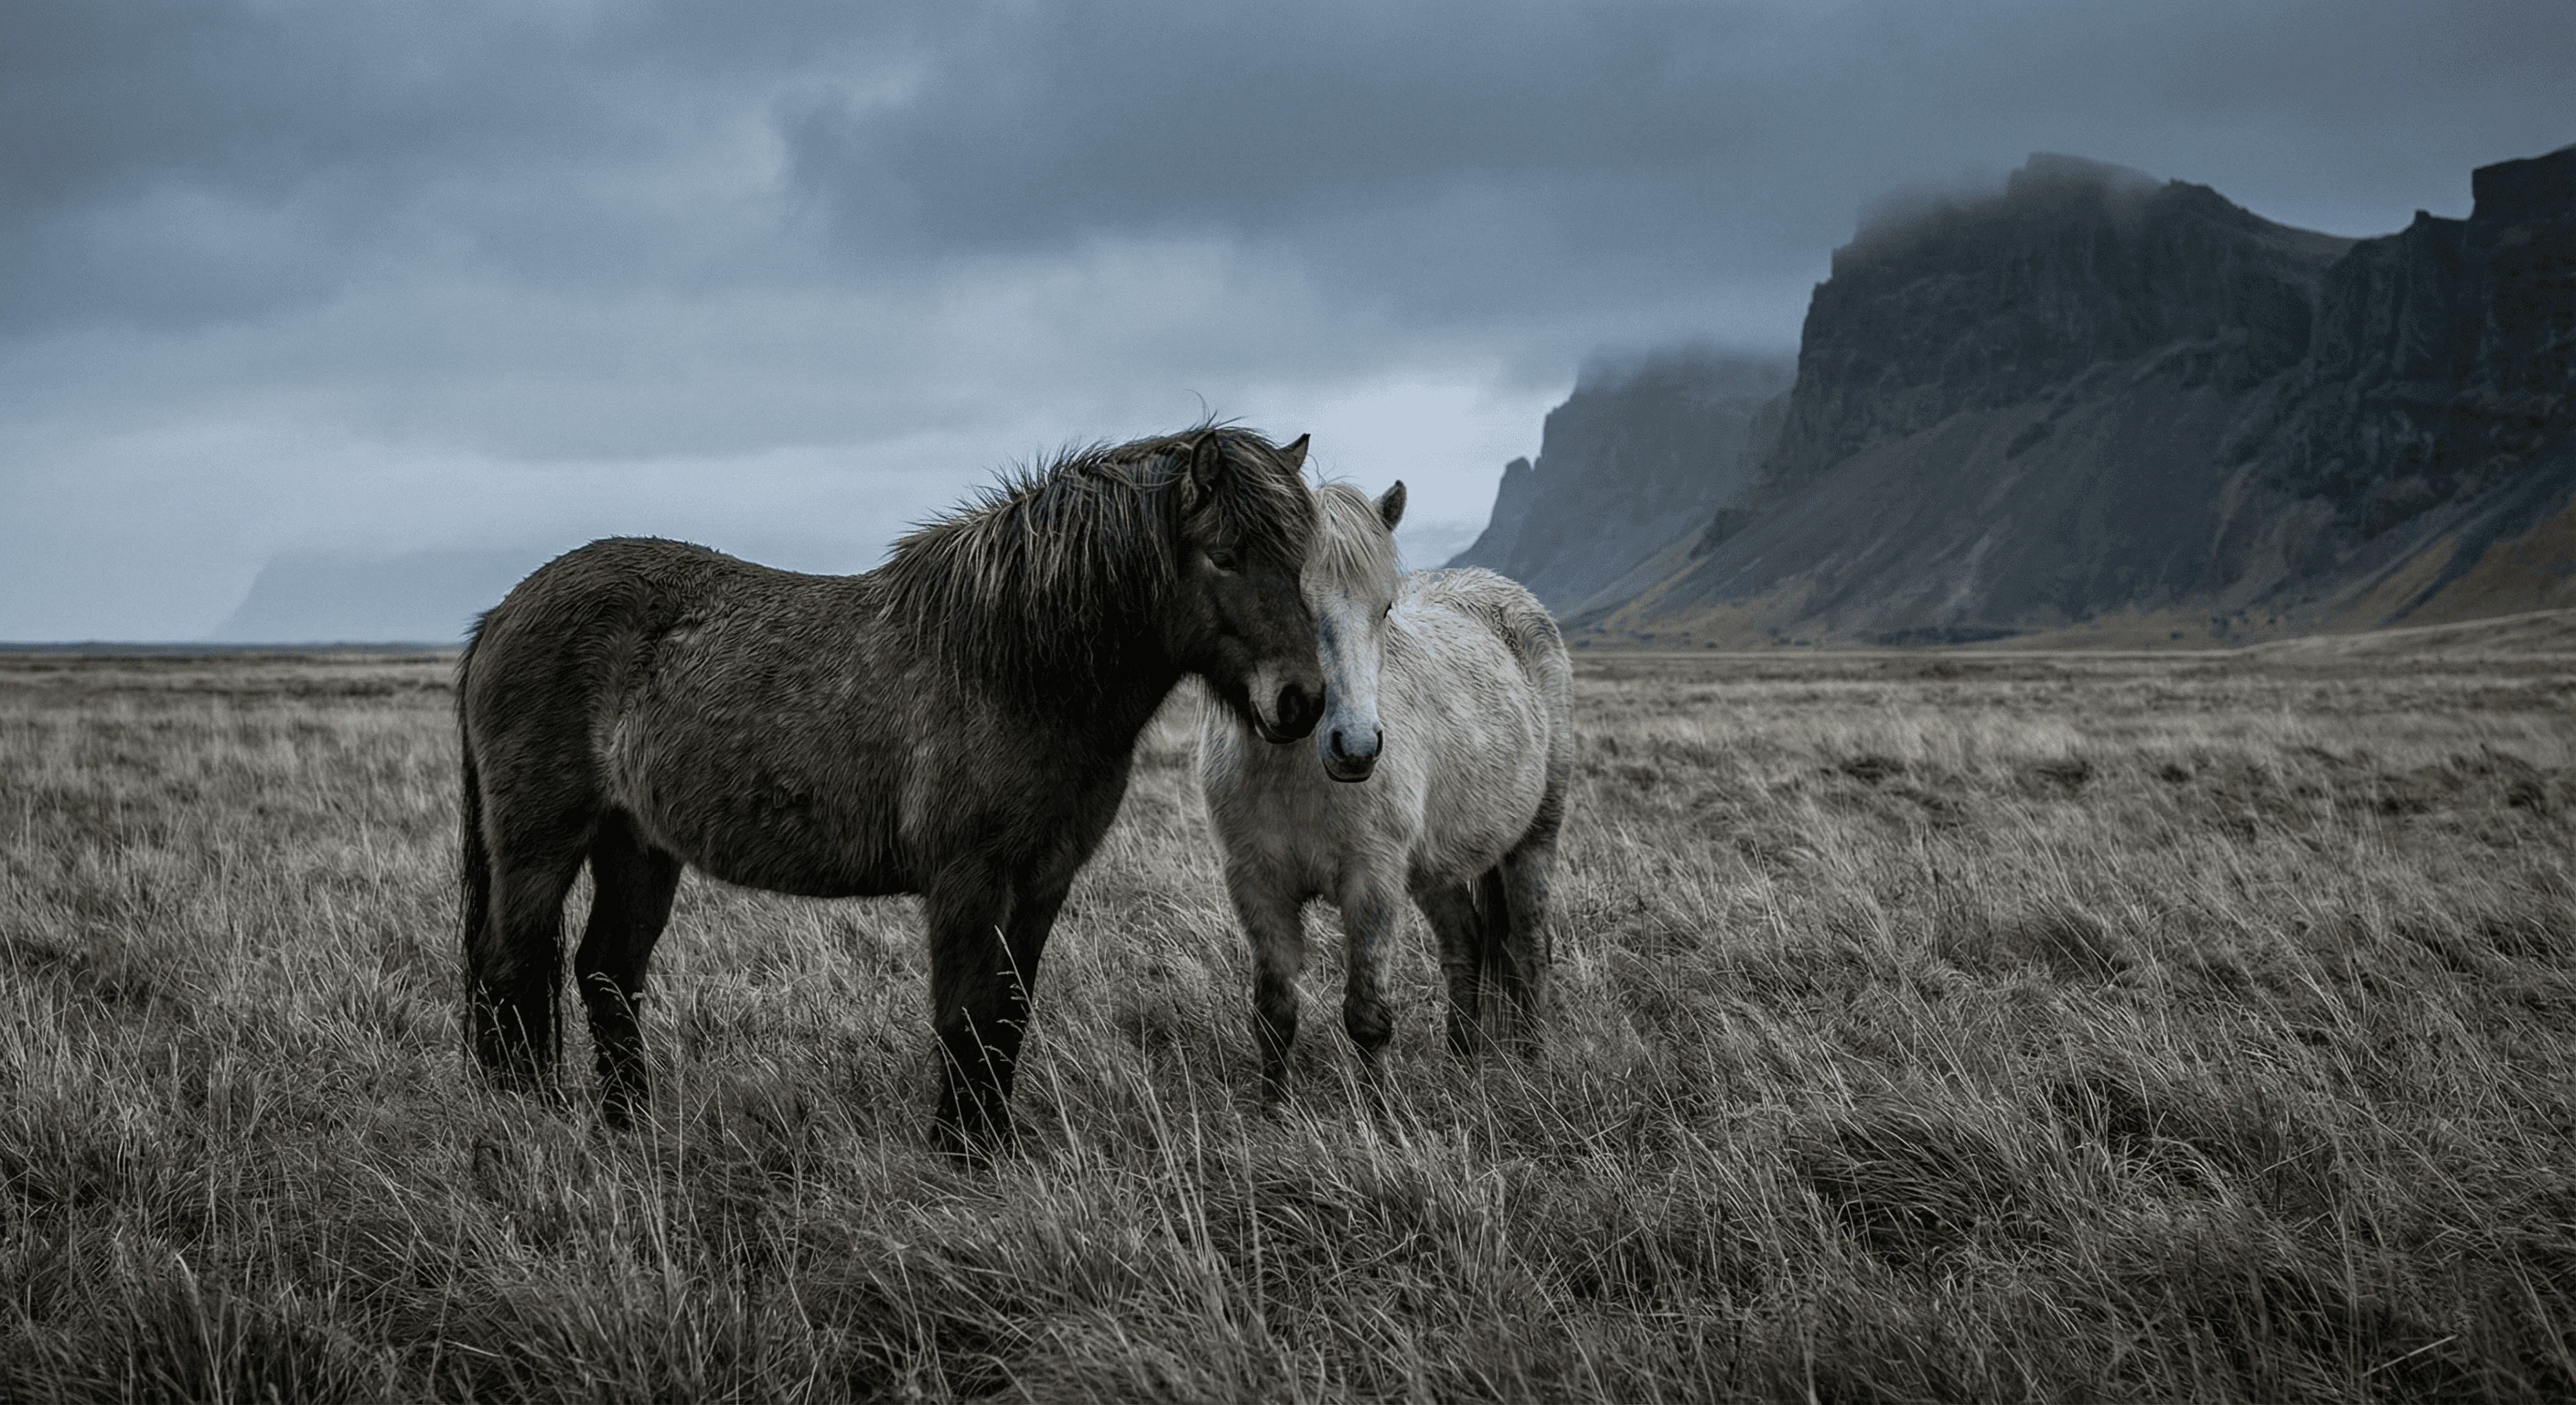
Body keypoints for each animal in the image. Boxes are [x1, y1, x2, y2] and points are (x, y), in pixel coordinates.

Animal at [457, 428, 1326, 1150]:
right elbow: (966, 1015)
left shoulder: (1043, 879)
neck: (1014, 665)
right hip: (540, 844)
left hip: (636, 844)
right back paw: (525, 1122)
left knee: (607, 971)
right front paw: (960, 1154)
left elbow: (1009, 1015)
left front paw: (992, 1145)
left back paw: (629, 1125)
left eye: (1299, 559)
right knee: (512, 969)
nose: (1302, 701)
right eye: (1224, 554)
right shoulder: (968, 879)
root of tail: (501, 612)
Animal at [1197, 480, 1574, 1101]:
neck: (1291, 773)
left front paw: (1380, 1112)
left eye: (1386, 609)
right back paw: (1461, 1064)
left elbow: (1367, 1017)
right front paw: (1271, 1112)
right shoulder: (1256, 885)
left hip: (1534, 841)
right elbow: (1273, 1014)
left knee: (1530, 948)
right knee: (1465, 943)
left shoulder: (1371, 882)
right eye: (1294, 600)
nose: (1356, 747)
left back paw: (1538, 1062)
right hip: (1433, 867)